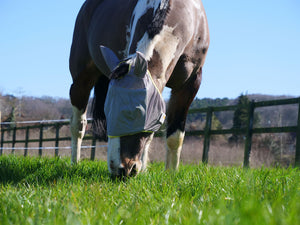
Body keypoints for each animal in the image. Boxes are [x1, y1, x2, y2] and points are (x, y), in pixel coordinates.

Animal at [69, 0, 210, 177]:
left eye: (138, 113)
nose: (121, 169)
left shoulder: (189, 85)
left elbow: (174, 136)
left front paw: (171, 173)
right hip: (81, 80)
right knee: (78, 125)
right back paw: (74, 163)